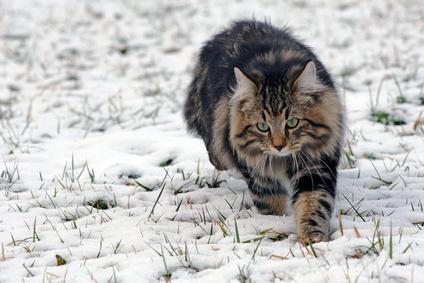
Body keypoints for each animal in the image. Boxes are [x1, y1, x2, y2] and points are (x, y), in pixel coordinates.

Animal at [185, 20, 344, 244]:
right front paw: (274, 223)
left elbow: (313, 203)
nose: (279, 146)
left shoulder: (315, 165)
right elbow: (270, 201)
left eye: (292, 122)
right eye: (262, 126)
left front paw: (312, 238)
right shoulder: (256, 170)